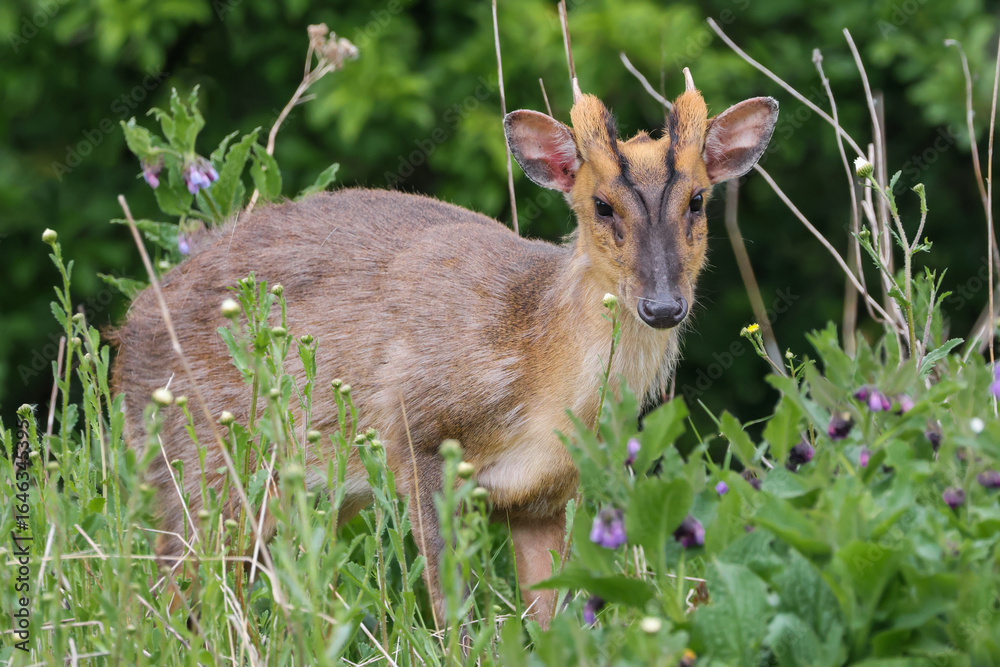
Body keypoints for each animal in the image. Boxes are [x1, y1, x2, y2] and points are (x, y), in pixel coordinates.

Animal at [111, 69, 778, 629]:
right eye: (601, 205)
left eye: (697, 200)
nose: (663, 307)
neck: (536, 371)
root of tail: (123, 338)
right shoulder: (416, 430)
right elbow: (449, 606)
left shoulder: (546, 494)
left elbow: (555, 618)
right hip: (201, 471)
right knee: (161, 594)